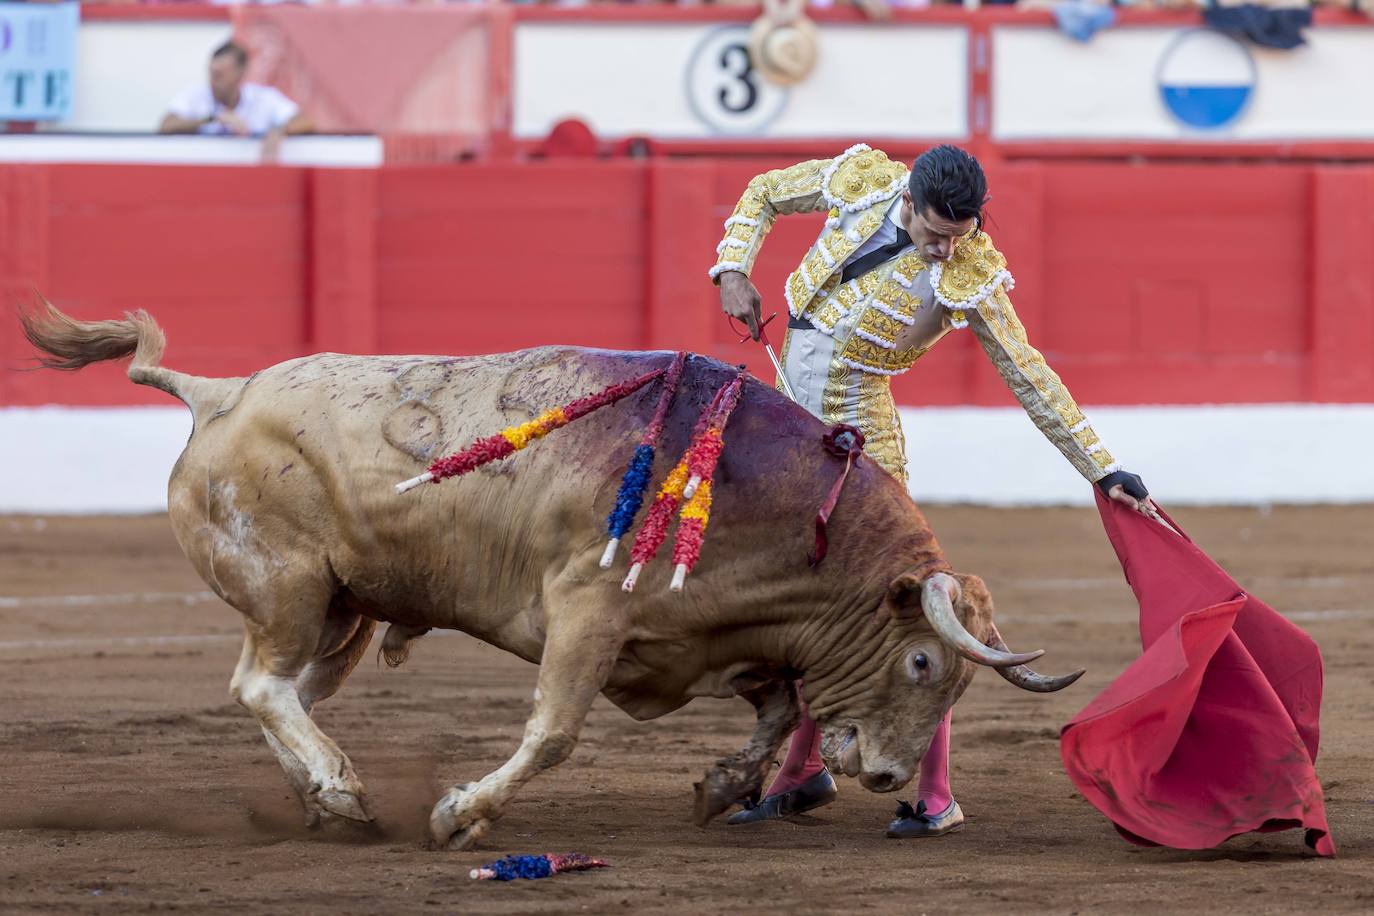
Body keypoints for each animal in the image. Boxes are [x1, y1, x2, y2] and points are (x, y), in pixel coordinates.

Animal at [16, 306, 1077, 851]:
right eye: (923, 665)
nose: (893, 776)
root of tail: (220, 393)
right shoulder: (585, 612)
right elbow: (557, 732)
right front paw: (459, 814)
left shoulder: (722, 641)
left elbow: (779, 714)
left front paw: (720, 788)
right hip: (288, 589)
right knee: (259, 684)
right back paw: (345, 793)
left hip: (344, 610)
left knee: (286, 693)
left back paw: (327, 796)